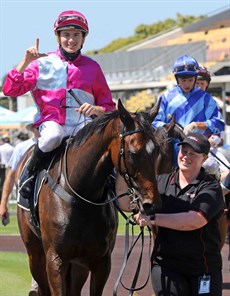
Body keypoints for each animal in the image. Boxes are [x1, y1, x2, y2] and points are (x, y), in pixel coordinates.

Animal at [16, 100, 164, 296]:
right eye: (133, 152)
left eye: (156, 152)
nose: (152, 204)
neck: (80, 196)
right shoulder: (55, 259)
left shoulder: (101, 261)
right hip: (36, 255)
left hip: (78, 266)